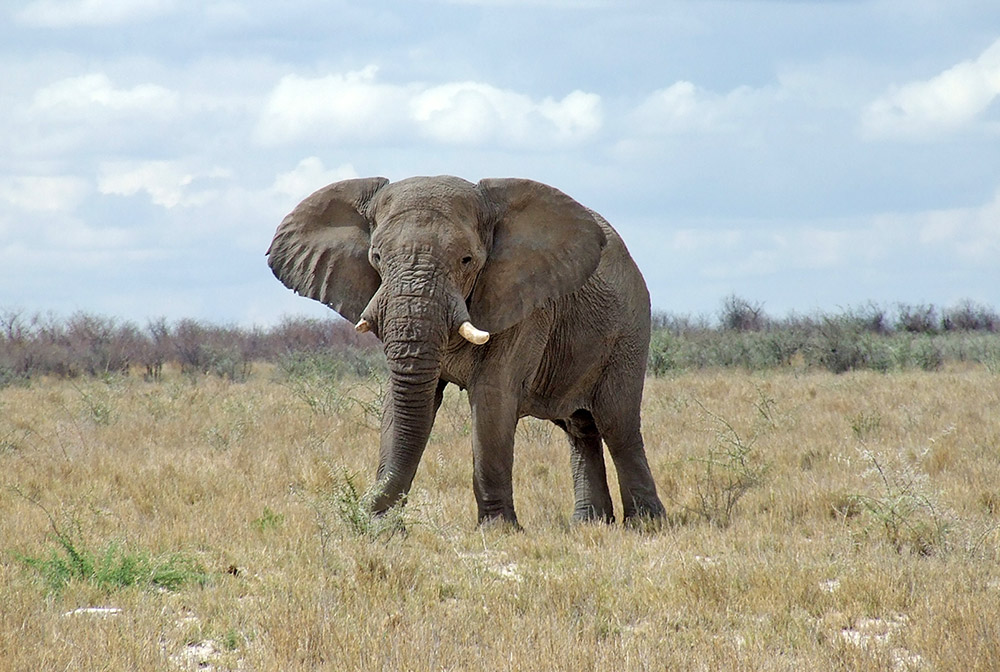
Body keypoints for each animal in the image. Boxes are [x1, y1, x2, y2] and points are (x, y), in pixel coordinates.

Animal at [270, 176, 668, 528]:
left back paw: (646, 524)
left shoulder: (523, 301)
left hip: (629, 332)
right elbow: (404, 402)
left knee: (617, 424)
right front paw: (384, 529)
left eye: (466, 260)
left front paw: (498, 530)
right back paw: (590, 524)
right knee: (579, 429)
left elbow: (492, 398)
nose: (362, 513)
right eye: (377, 257)